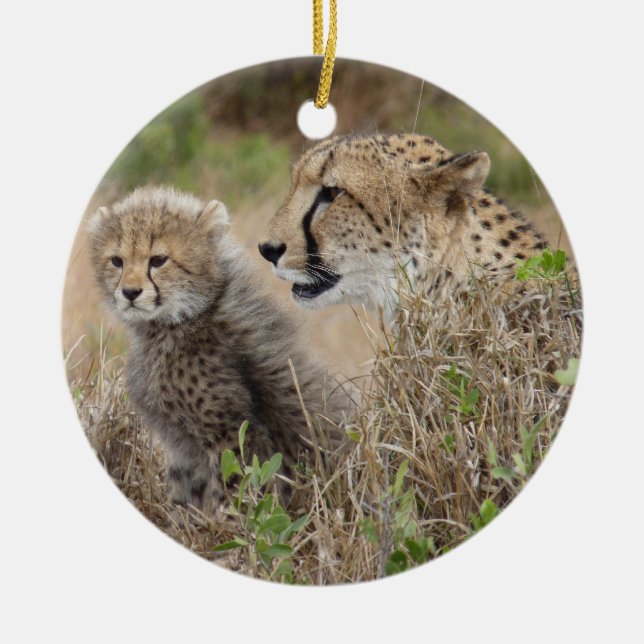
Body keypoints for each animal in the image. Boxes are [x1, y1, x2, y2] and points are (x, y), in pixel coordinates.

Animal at [88, 185, 350, 514]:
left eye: (158, 260)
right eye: (117, 261)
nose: (130, 292)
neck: (182, 319)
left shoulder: (231, 433)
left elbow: (236, 489)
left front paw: (229, 523)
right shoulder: (186, 451)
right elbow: (187, 490)